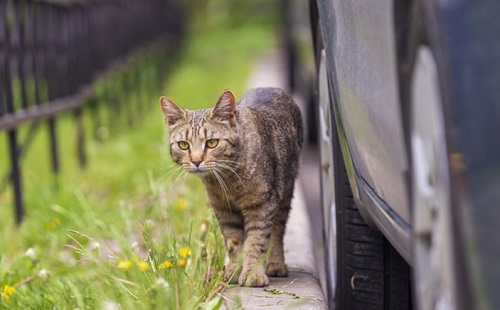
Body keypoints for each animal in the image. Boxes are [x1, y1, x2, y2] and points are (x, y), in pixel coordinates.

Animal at [160, 86, 302, 286]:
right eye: (183, 145)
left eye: (212, 143)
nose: (196, 161)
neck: (227, 180)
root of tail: (270, 87)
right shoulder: (224, 210)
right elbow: (233, 242)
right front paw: (235, 270)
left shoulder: (262, 205)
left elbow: (256, 241)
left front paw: (252, 272)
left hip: (285, 192)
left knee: (277, 230)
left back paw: (275, 263)